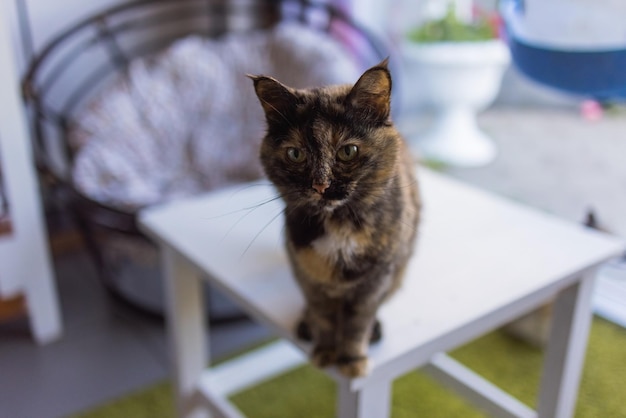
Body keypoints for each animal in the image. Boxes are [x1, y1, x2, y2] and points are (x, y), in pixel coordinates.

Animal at [250, 60, 420, 378]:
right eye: (295, 154)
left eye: (347, 151)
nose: (321, 185)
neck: (338, 225)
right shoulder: (309, 277)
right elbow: (324, 317)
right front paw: (326, 352)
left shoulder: (375, 281)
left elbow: (357, 323)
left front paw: (352, 359)